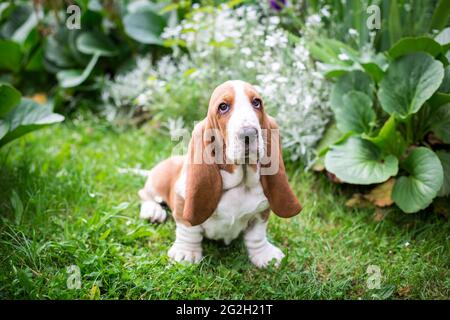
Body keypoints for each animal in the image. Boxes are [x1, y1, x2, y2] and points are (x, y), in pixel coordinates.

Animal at [140, 79, 302, 268]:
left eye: (257, 103)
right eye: (223, 107)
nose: (249, 133)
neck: (241, 183)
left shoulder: (262, 212)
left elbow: (257, 235)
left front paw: (264, 254)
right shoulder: (183, 204)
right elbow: (188, 229)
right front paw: (186, 252)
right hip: (157, 182)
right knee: (144, 194)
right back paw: (152, 210)